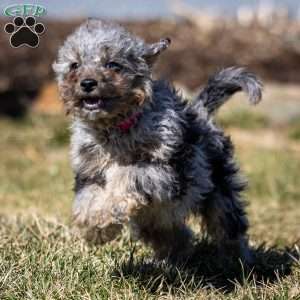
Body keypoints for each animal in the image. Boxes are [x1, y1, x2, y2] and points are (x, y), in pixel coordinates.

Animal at [53, 19, 262, 262]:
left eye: (113, 64)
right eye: (74, 65)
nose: (87, 83)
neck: (117, 127)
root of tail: (200, 111)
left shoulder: (165, 170)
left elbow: (128, 174)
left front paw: (104, 216)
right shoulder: (89, 172)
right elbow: (87, 199)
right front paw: (95, 226)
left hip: (219, 190)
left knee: (228, 226)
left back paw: (237, 261)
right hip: (155, 219)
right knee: (173, 234)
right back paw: (174, 258)